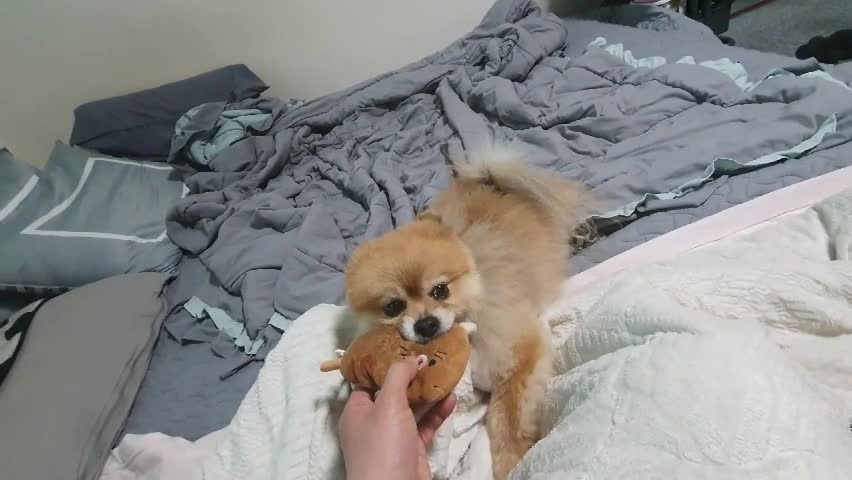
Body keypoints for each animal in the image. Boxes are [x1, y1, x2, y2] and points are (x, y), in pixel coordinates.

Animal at [342, 147, 588, 480]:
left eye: (440, 290)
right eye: (393, 307)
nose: (426, 323)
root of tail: (489, 179)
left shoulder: (518, 347)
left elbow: (506, 415)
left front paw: (512, 461)